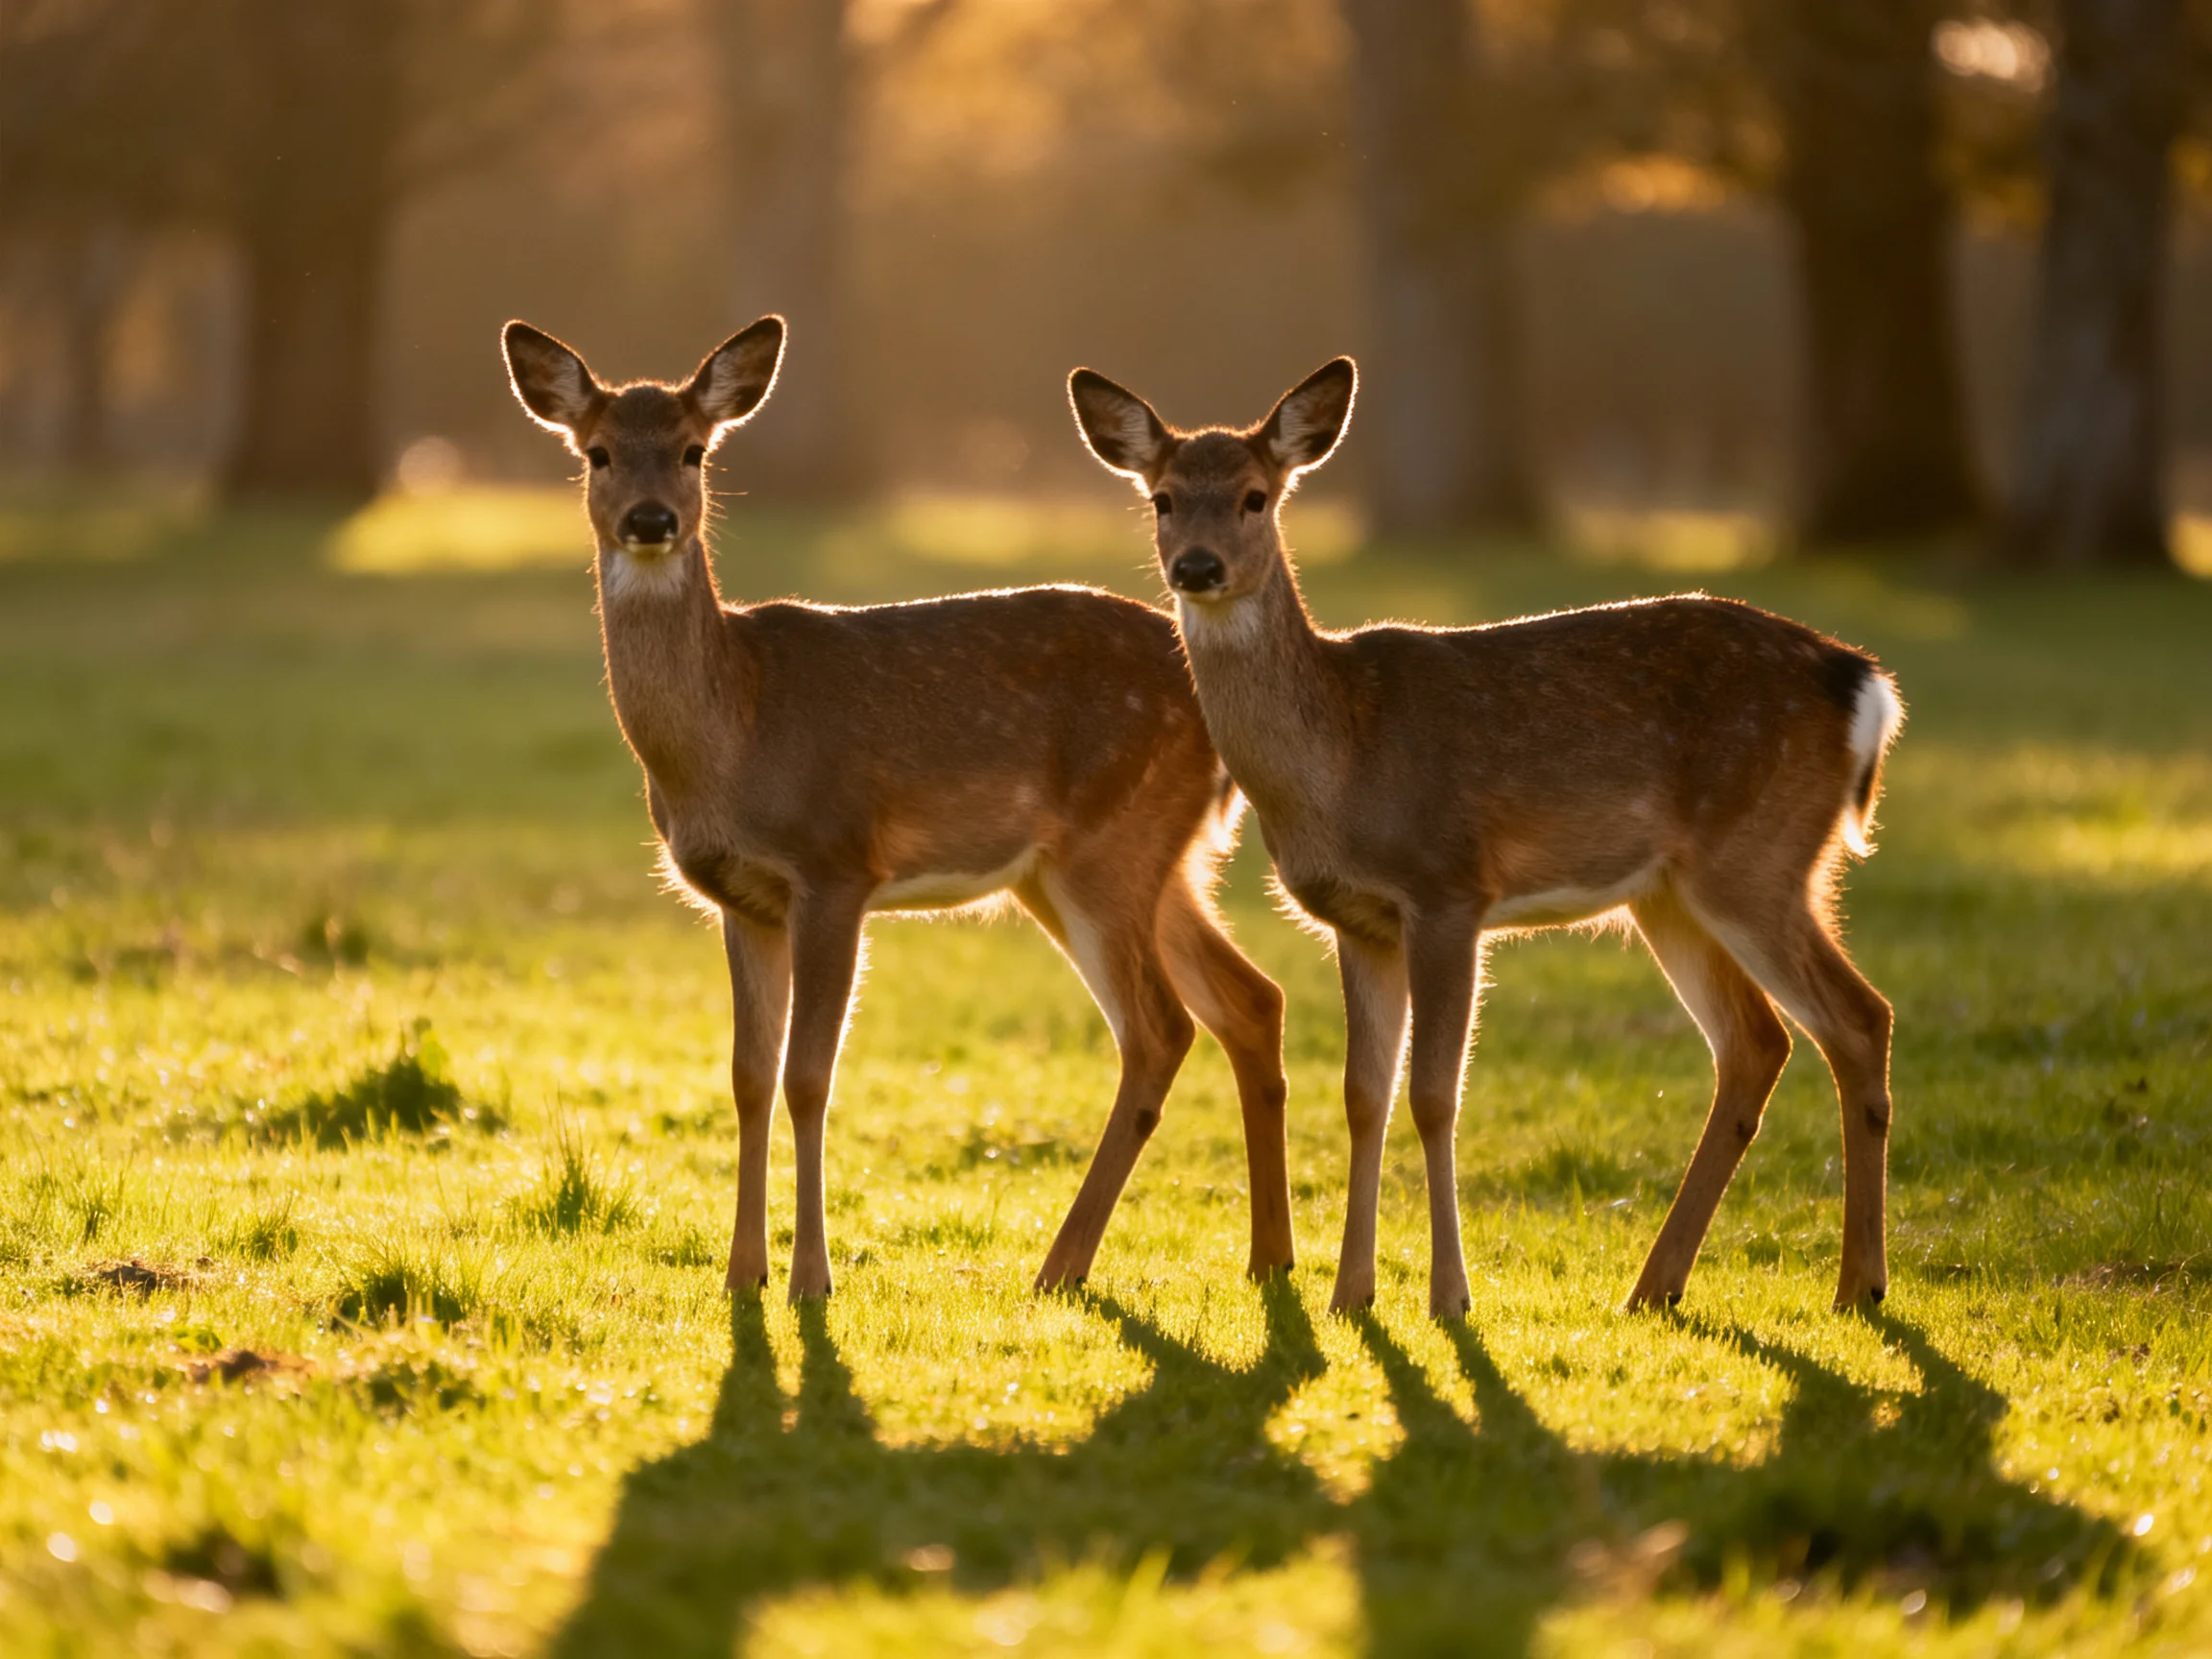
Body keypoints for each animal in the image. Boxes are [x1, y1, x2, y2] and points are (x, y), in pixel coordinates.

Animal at [502, 316, 1293, 1302]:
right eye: (598, 452)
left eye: (693, 450)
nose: (652, 520)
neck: (735, 732)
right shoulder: (740, 900)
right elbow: (748, 1077)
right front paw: (740, 1273)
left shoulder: (835, 866)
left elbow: (809, 1077)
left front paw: (810, 1279)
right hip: (1131, 862)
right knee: (1250, 999)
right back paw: (1267, 1258)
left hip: (1110, 846)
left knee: (1160, 1028)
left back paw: (1060, 1266)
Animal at [1068, 355, 1906, 1320]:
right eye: (1163, 497)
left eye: (1254, 496)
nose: (1196, 567)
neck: (1342, 760)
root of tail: (1863, 685)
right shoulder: (1358, 922)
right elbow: (1363, 1095)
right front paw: (1351, 1293)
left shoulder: (1448, 888)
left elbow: (1435, 1095)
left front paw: (1448, 1296)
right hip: (1672, 894)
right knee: (1756, 1044)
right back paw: (1655, 1286)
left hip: (1759, 861)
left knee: (1859, 1019)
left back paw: (1859, 1284)